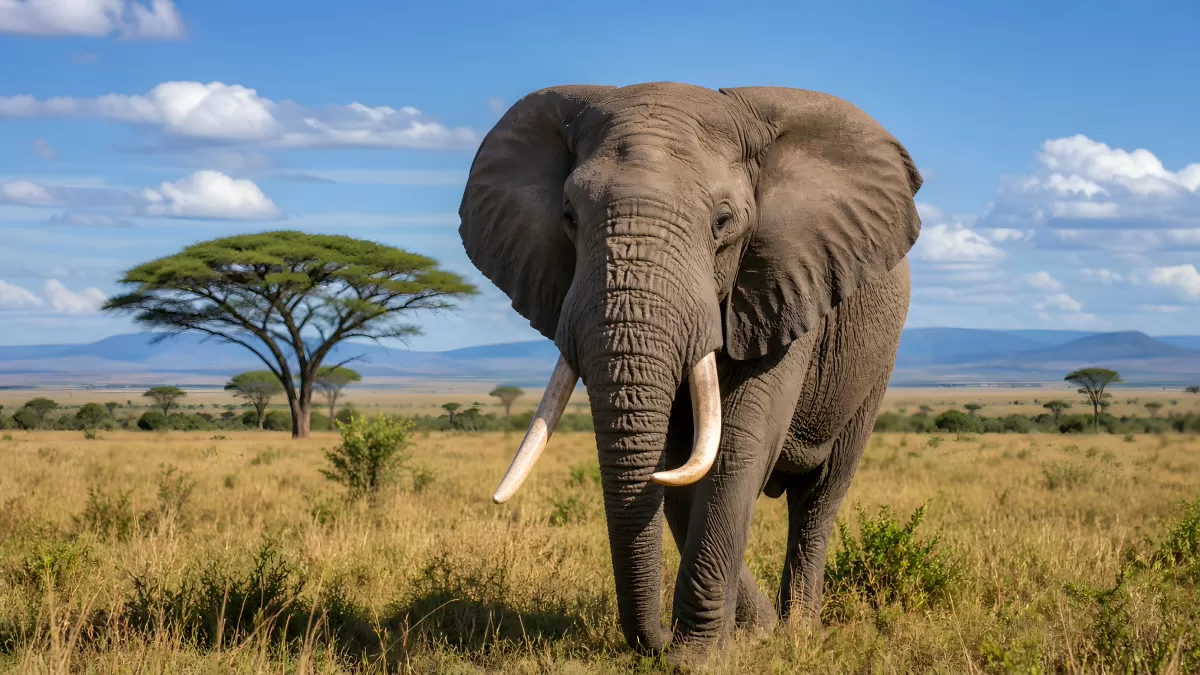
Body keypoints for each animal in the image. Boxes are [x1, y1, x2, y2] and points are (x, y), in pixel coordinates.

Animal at [458, 82, 922, 660]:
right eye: (568, 217)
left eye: (722, 223)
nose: (654, 643)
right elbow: (679, 460)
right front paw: (740, 635)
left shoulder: (784, 282)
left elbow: (736, 446)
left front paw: (696, 656)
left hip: (875, 364)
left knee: (819, 497)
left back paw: (800, 632)